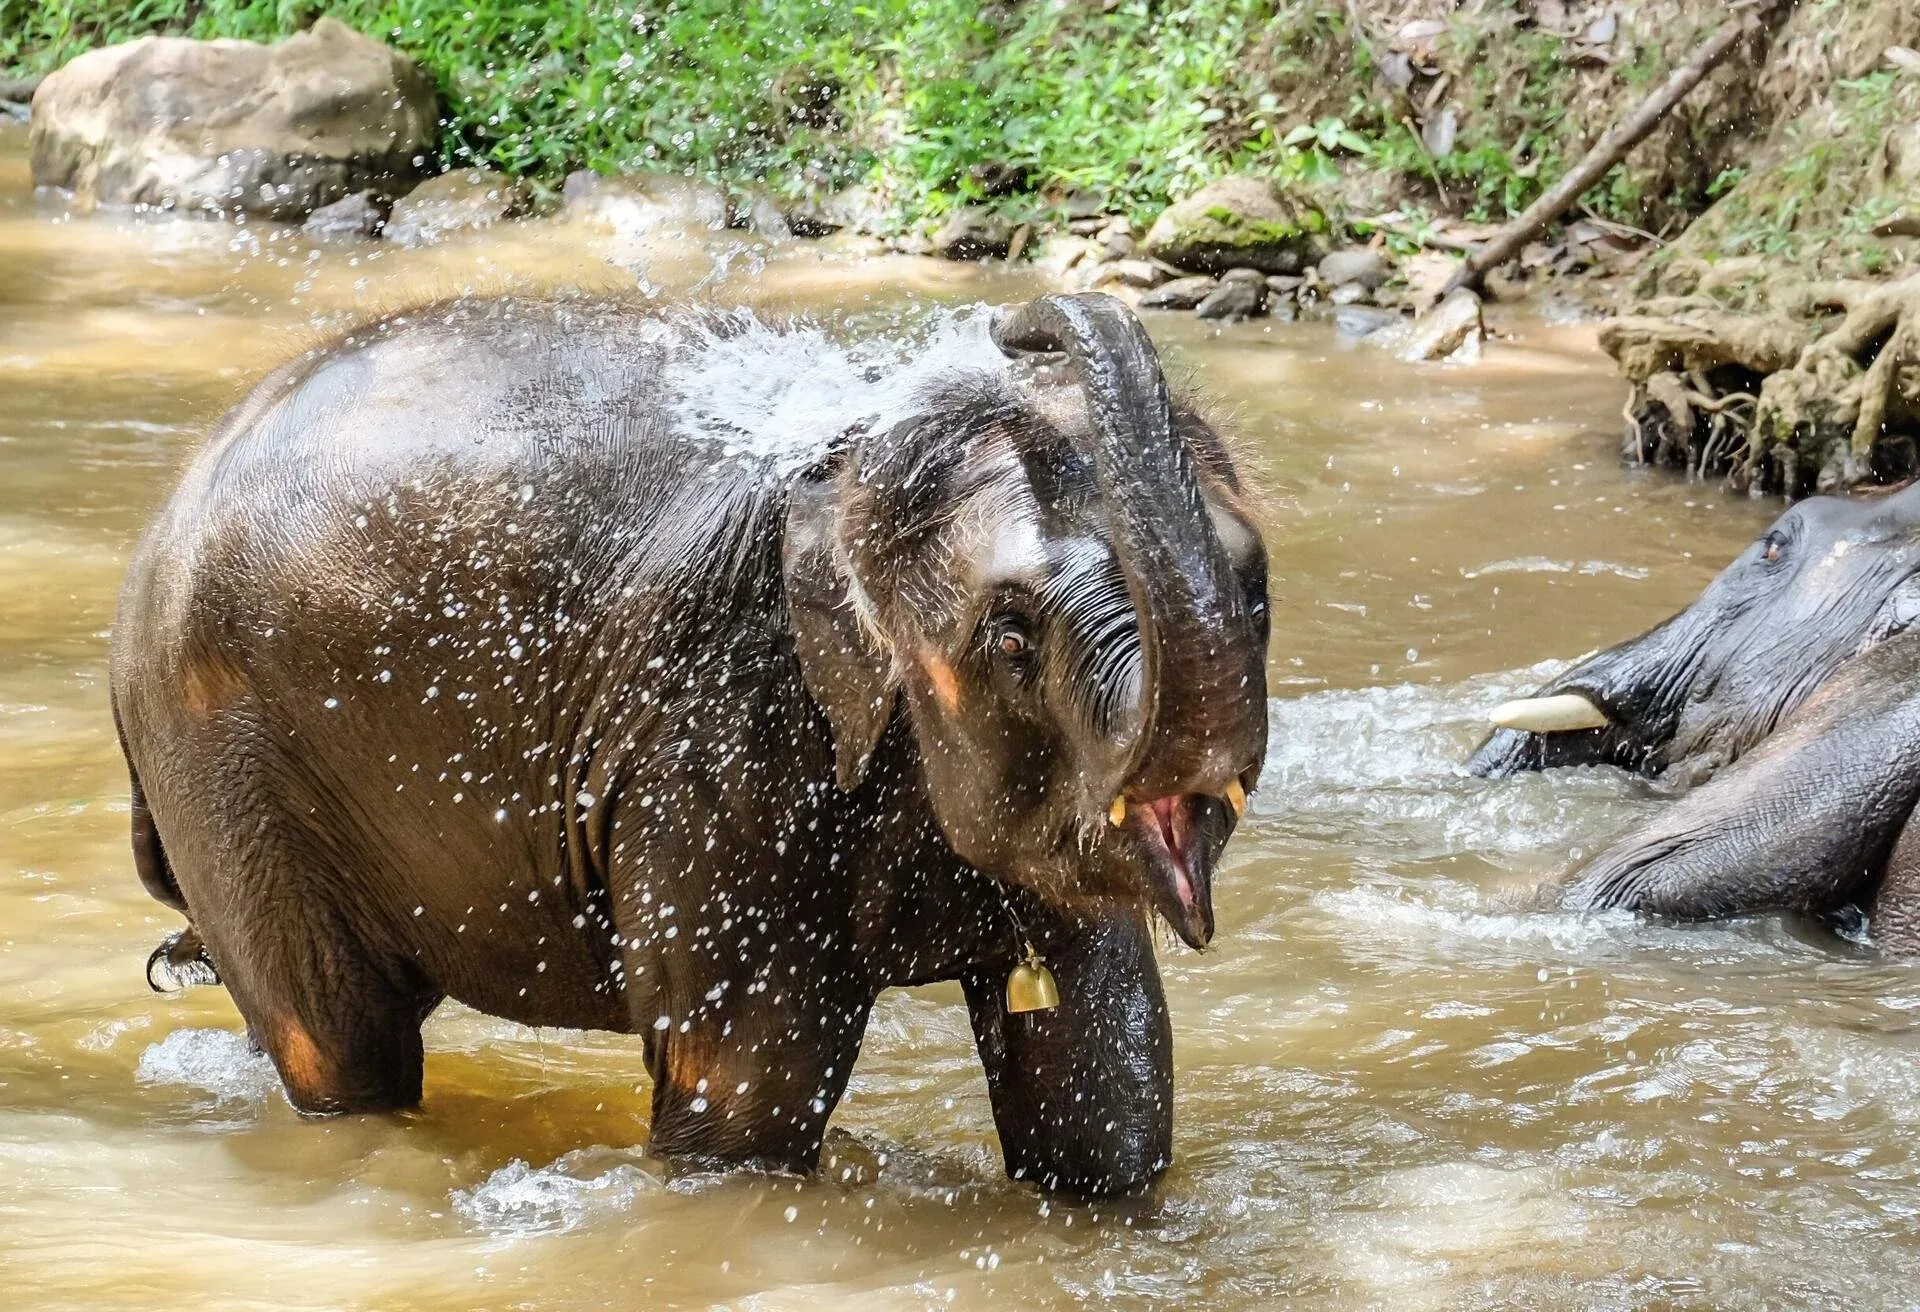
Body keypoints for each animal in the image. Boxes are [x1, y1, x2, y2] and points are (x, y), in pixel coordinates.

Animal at [110, 291, 1270, 1195]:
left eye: (1255, 593)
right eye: (1013, 635)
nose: (1018, 332)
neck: (852, 471)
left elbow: (1105, 1096)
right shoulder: (716, 746)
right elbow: (745, 1106)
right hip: (223, 761)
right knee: (345, 1050)